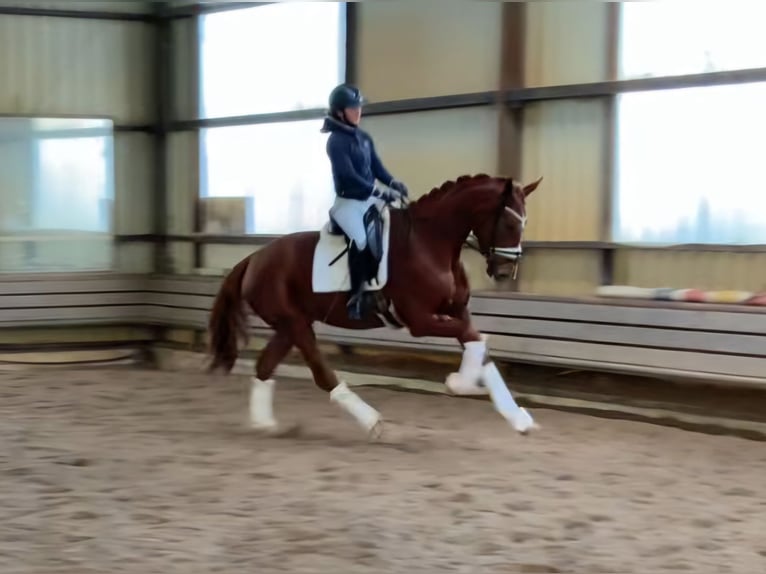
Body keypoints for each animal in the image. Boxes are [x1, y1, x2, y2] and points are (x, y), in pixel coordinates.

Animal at [208, 173, 544, 438]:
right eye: (509, 223)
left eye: (526, 223)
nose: (504, 272)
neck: (431, 243)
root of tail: (254, 259)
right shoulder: (420, 320)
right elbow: (475, 340)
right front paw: (459, 384)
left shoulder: (456, 311)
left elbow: (480, 346)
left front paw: (518, 418)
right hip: (295, 324)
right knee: (321, 373)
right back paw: (372, 422)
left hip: (290, 324)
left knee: (265, 366)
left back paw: (264, 425)